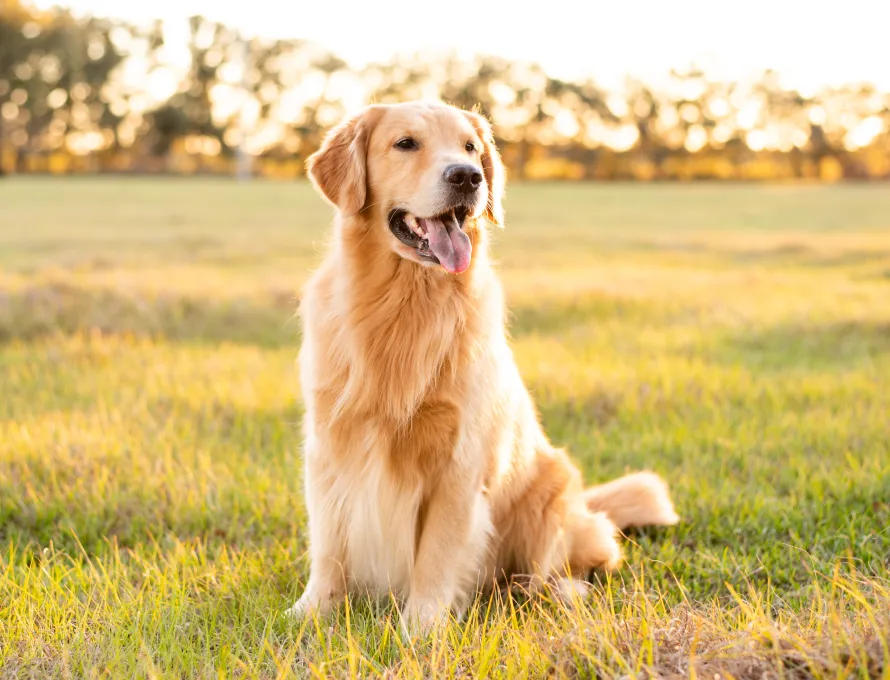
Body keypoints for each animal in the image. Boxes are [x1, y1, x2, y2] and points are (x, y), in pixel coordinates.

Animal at [288, 101, 676, 632]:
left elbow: (436, 554)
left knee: (576, 562)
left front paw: (421, 628)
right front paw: (311, 612)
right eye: (405, 143)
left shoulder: (460, 462)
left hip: (553, 490)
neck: (404, 303)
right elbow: (328, 545)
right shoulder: (329, 447)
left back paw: (552, 591)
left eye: (470, 147)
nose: (467, 177)